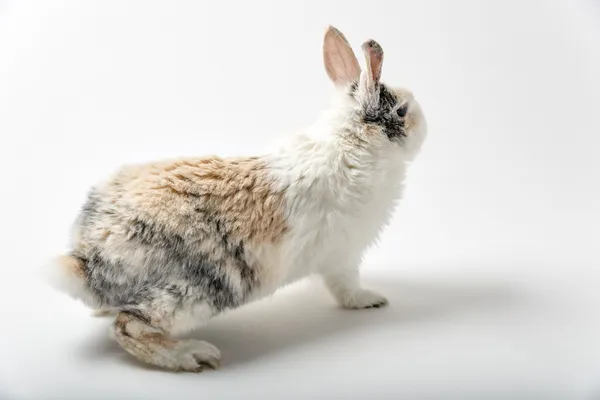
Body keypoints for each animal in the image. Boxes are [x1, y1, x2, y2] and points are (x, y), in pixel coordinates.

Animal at [48, 26, 426, 372]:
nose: (425, 127)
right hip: (197, 291)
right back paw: (192, 355)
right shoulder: (342, 256)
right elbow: (346, 287)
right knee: (128, 326)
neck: (352, 144)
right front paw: (371, 300)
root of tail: (88, 256)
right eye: (402, 111)